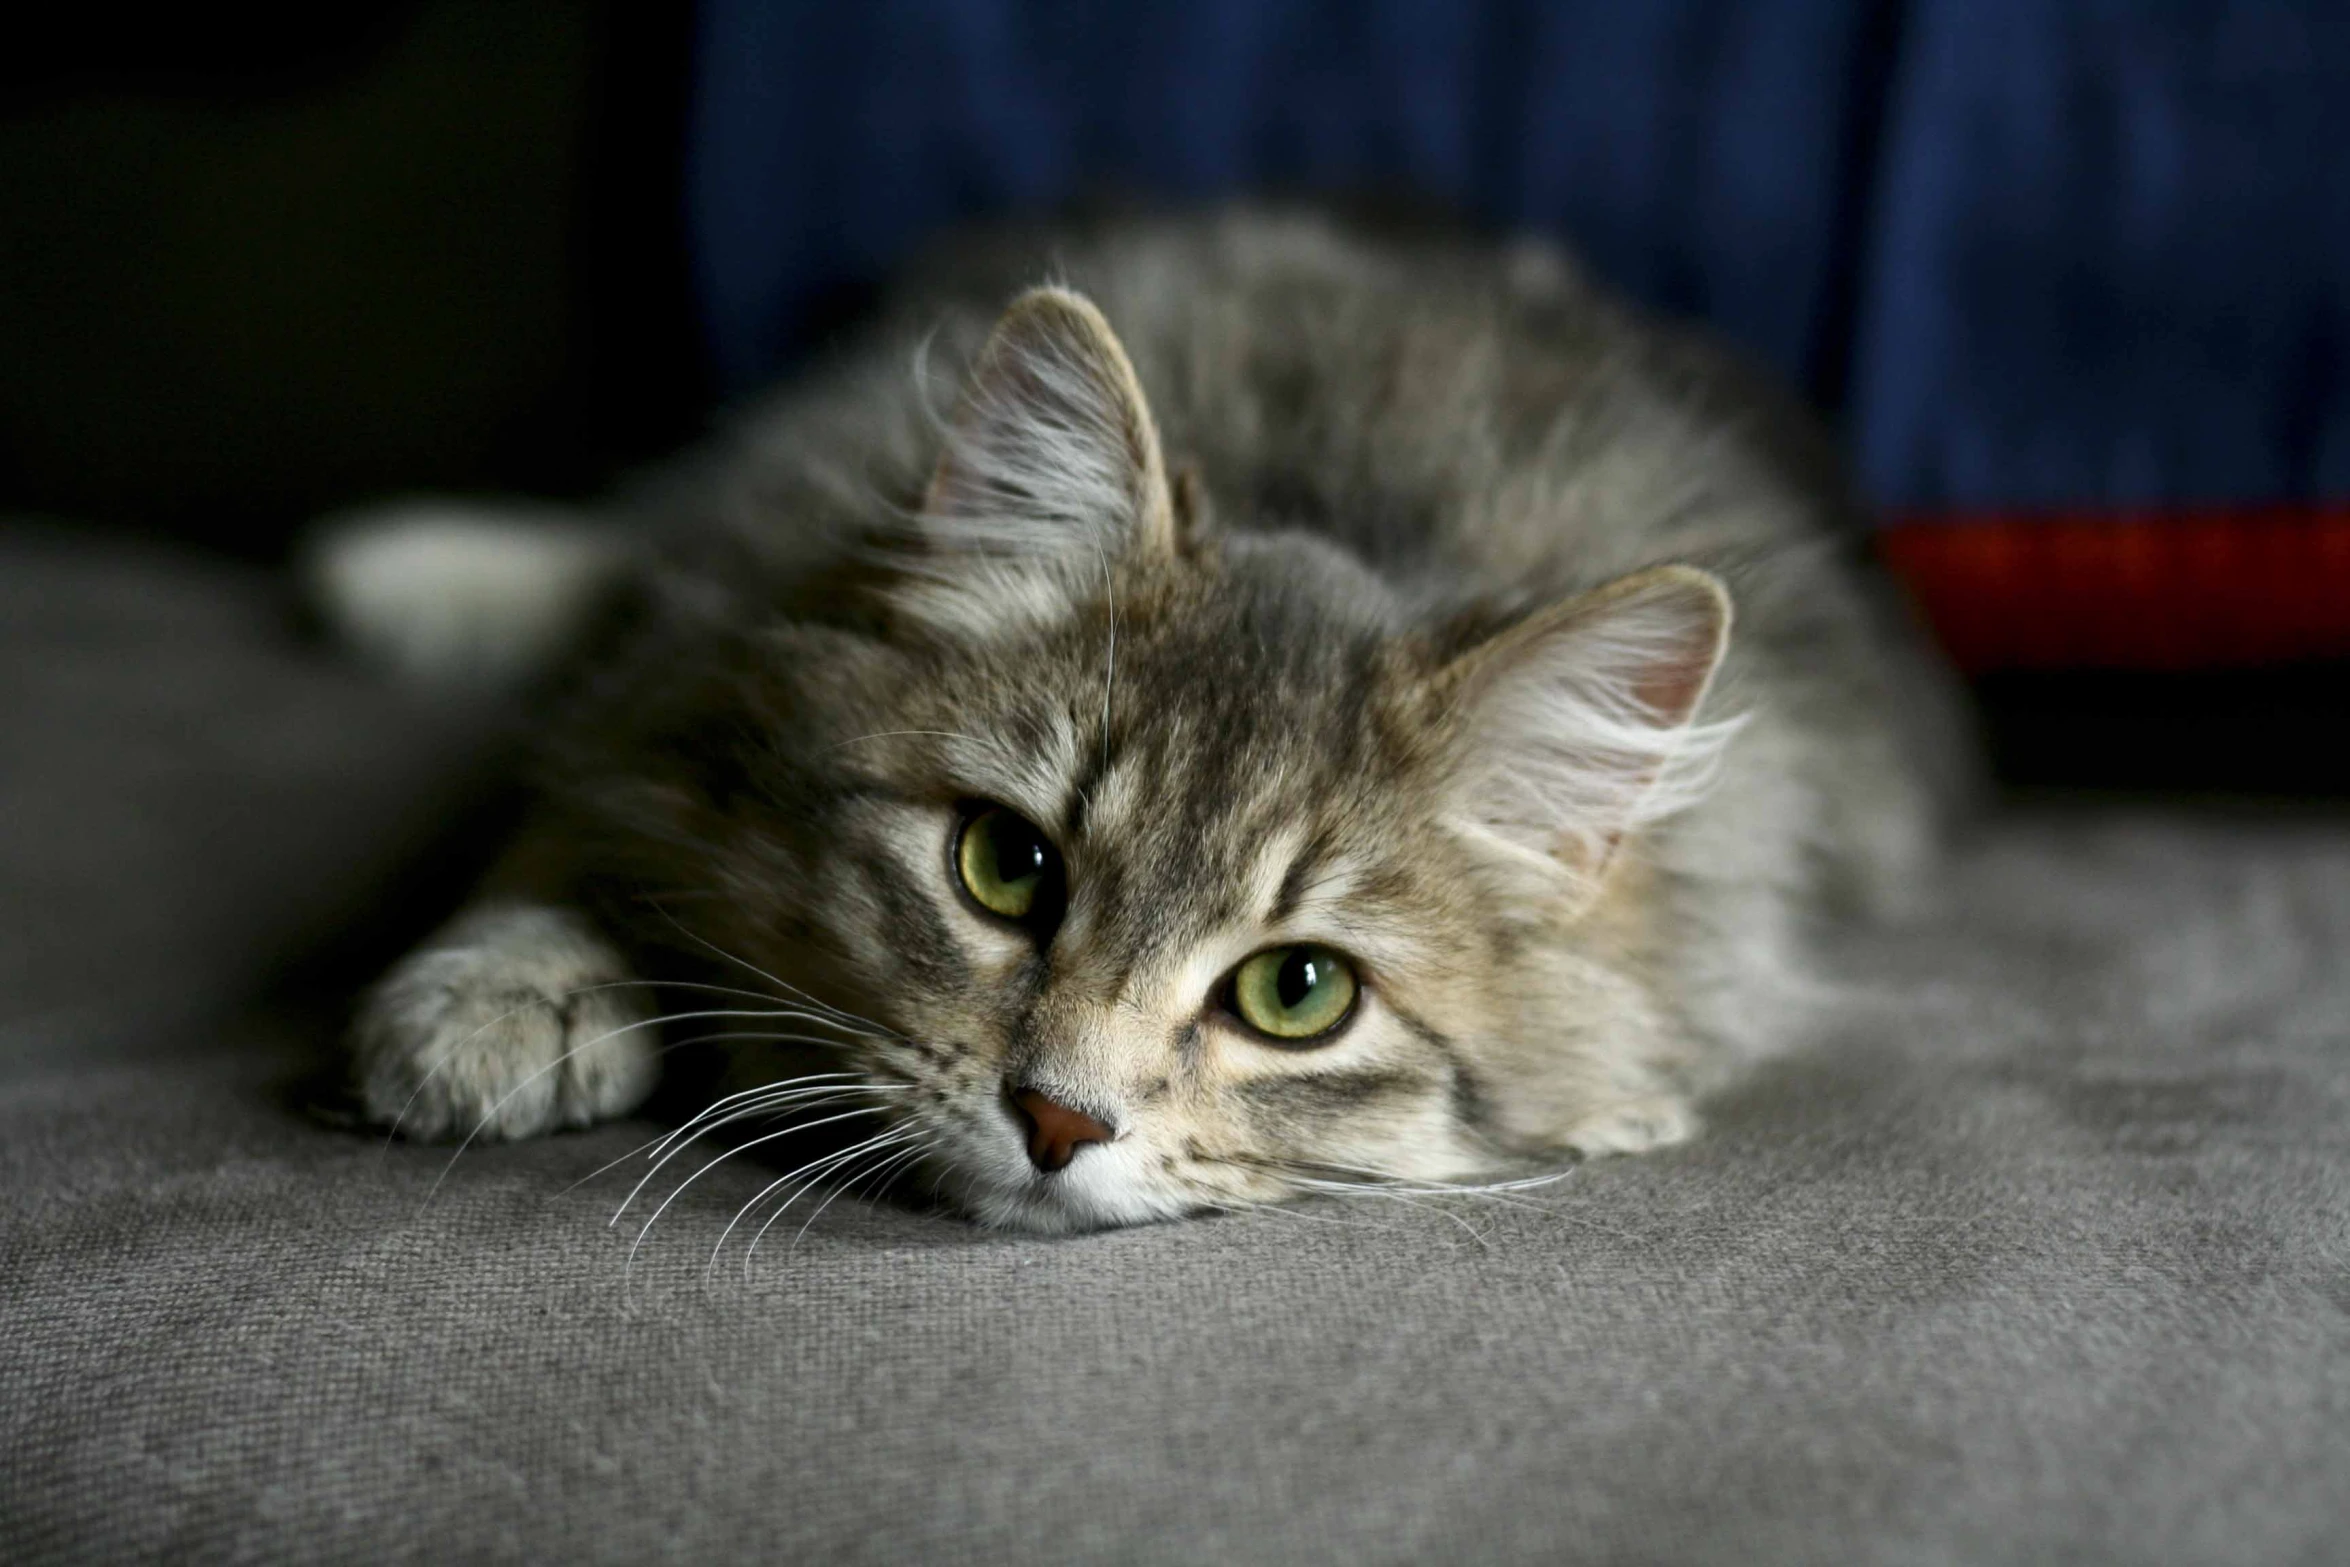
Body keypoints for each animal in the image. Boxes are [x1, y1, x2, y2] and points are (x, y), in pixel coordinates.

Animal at [317, 211, 1964, 1240]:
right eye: (1004, 866)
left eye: (1297, 992)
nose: (1057, 1122)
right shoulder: (705, 624)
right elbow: (572, 796)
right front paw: (495, 999)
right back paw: (400, 570)